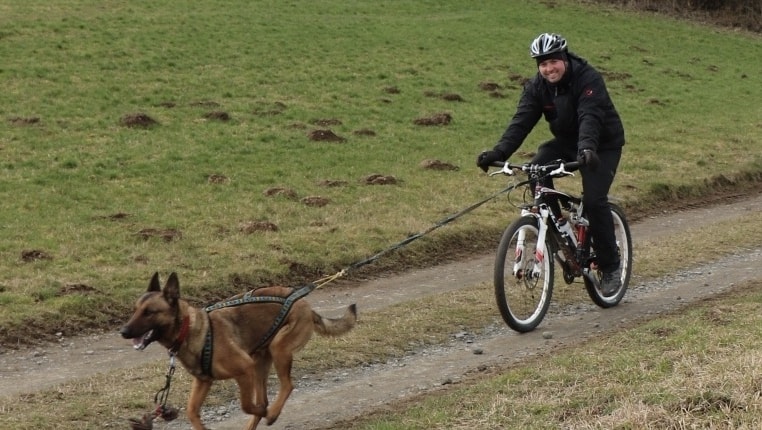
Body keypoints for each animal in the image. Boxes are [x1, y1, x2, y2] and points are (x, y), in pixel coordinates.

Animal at [119, 272, 356, 430]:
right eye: (135, 310)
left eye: (149, 312)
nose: (123, 331)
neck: (189, 329)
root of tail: (305, 304)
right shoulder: (203, 381)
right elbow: (192, 412)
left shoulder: (244, 369)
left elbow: (246, 405)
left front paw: (266, 413)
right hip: (261, 360)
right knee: (265, 398)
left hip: (277, 350)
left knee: (286, 386)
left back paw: (272, 413)